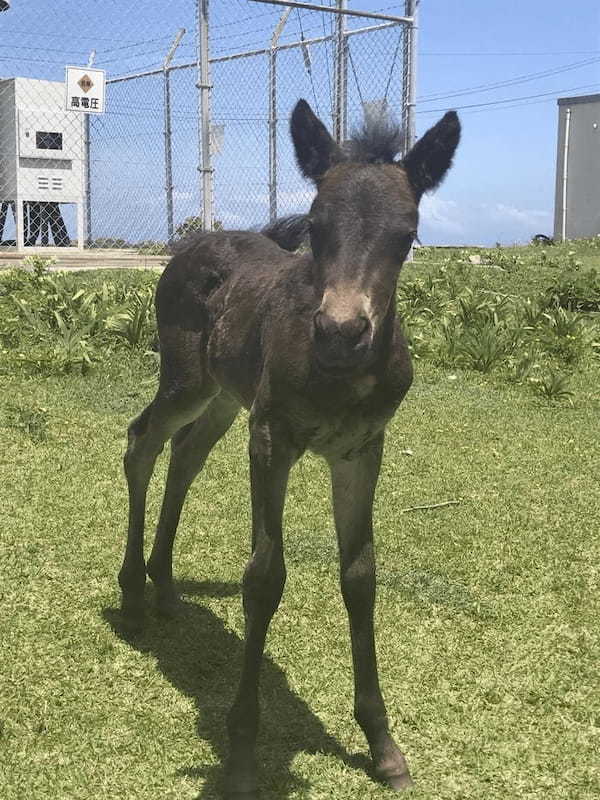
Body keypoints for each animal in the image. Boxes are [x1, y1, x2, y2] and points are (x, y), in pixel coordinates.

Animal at [119, 100, 462, 792]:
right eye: (316, 225)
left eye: (407, 234)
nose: (341, 332)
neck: (338, 377)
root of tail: (192, 244)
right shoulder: (272, 438)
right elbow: (264, 577)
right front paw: (243, 752)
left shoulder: (361, 450)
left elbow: (360, 576)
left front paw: (382, 744)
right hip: (187, 379)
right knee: (143, 442)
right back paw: (134, 594)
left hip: (225, 395)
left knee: (186, 455)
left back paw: (164, 585)